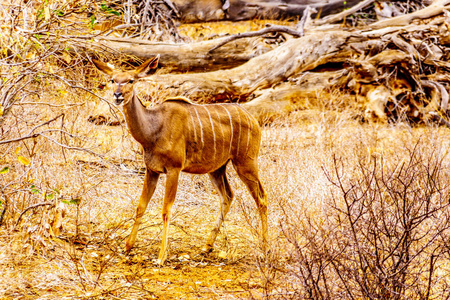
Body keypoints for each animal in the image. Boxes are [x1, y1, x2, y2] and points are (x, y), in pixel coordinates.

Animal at [92, 56, 268, 264]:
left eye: (131, 80)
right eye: (112, 80)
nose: (117, 95)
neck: (153, 130)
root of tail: (254, 120)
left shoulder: (174, 169)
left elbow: (166, 210)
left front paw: (161, 257)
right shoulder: (151, 170)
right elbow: (141, 205)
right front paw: (127, 247)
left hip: (246, 162)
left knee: (261, 198)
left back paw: (265, 249)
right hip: (217, 169)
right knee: (228, 196)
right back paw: (207, 247)